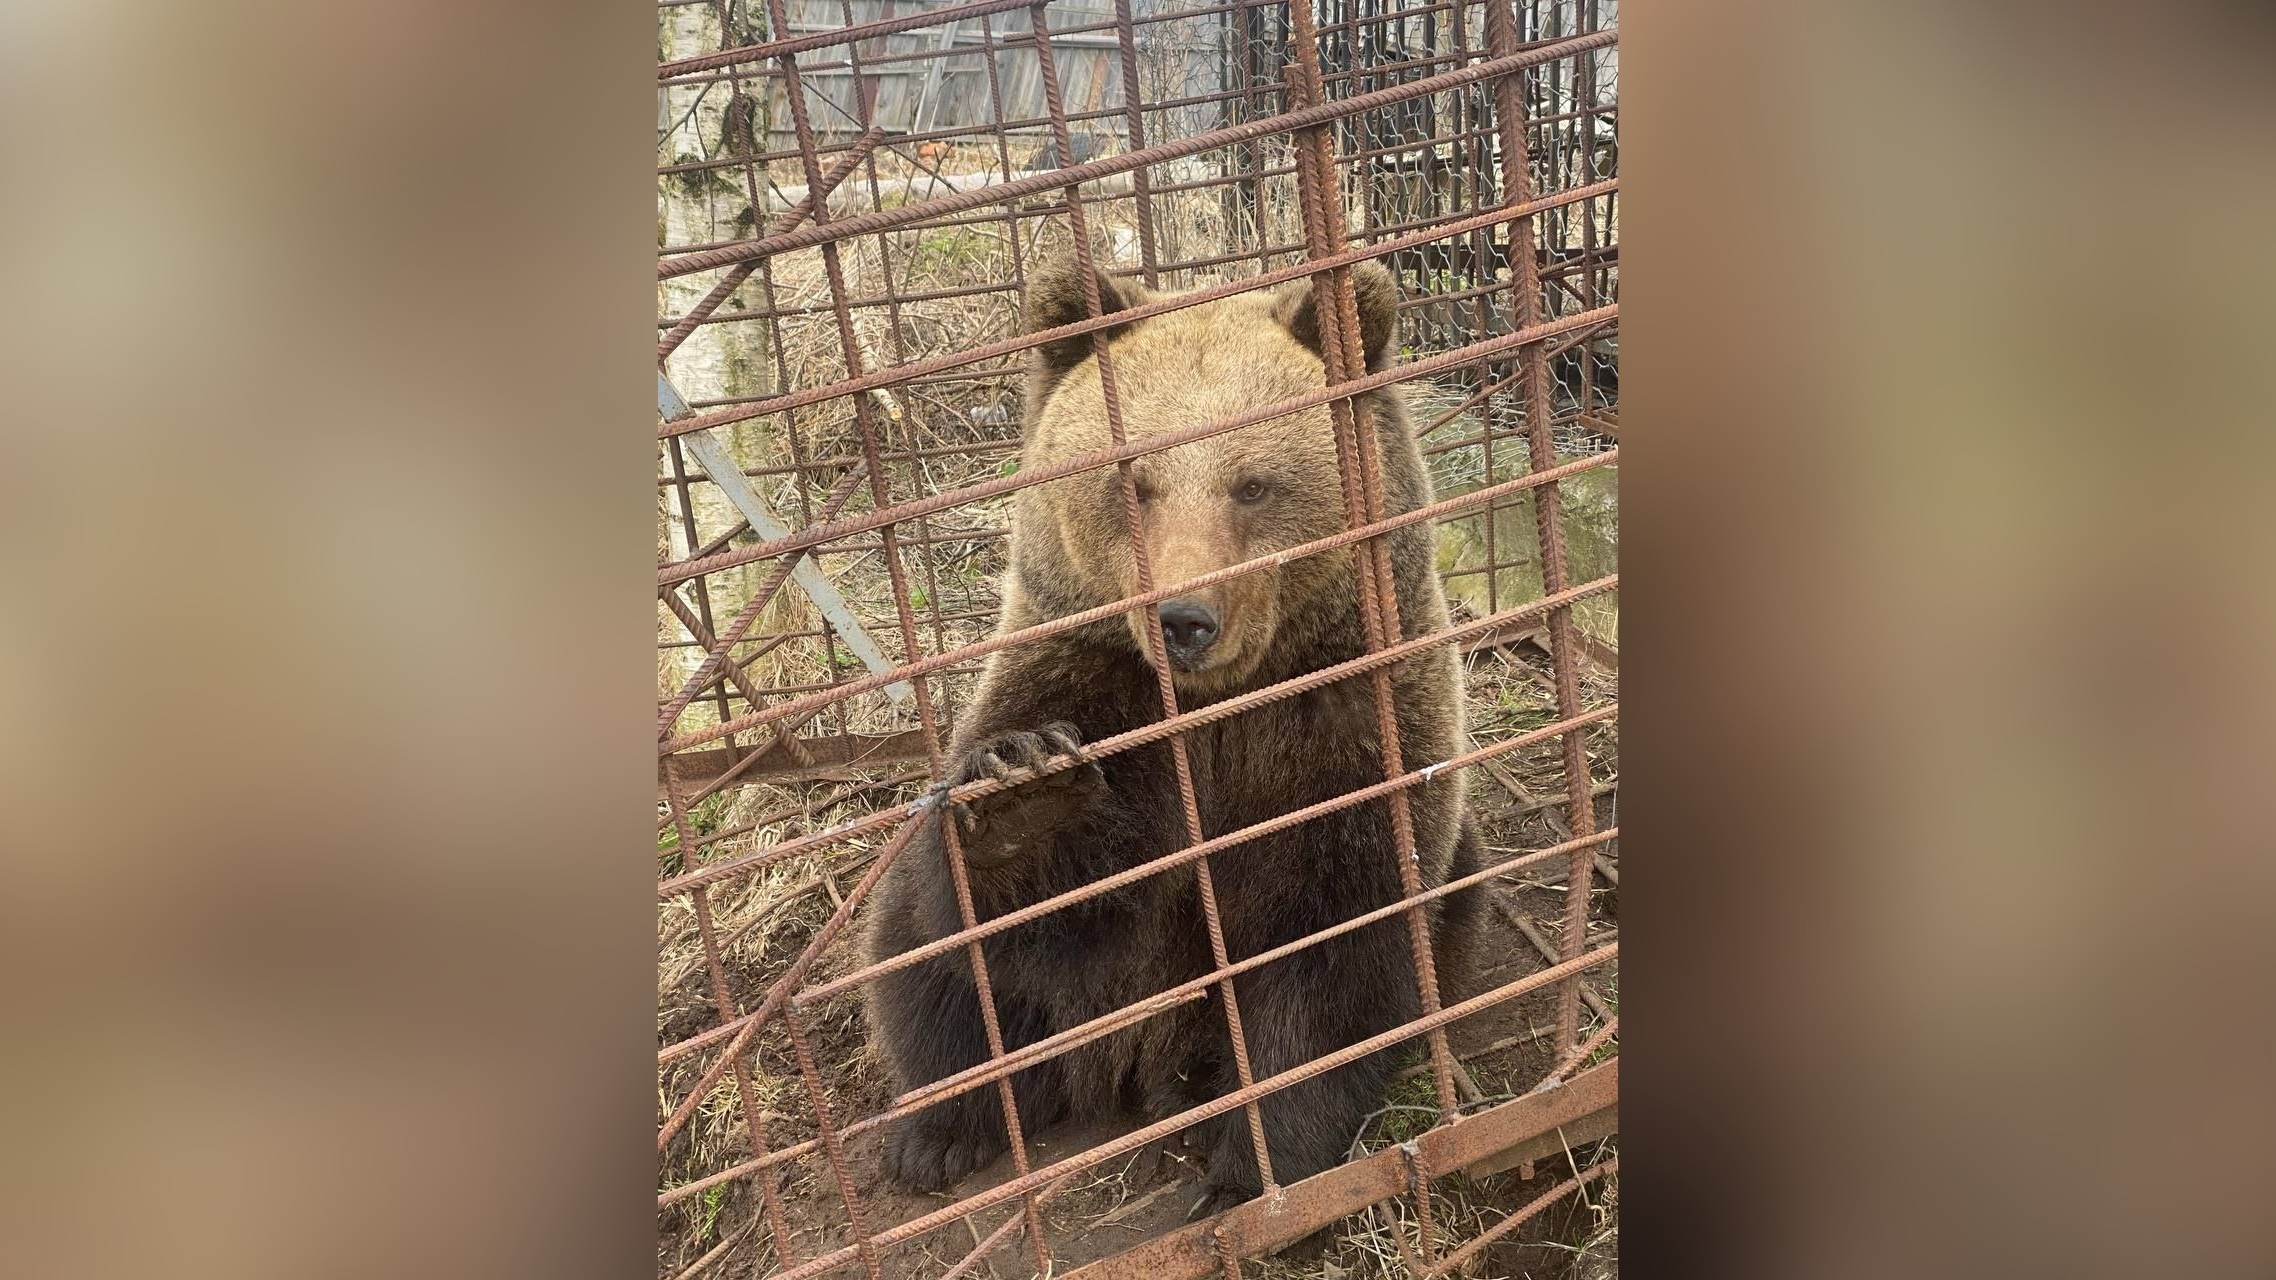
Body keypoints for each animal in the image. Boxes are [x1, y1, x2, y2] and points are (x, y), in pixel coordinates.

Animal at [860, 249, 1483, 1202]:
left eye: (1253, 483)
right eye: (1133, 483)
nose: (1184, 617)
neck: (1217, 704)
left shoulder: (1354, 727)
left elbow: (1336, 946)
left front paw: (1253, 1161)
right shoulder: (1094, 679)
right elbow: (1040, 906)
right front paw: (1023, 789)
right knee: (922, 954)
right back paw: (940, 1130)